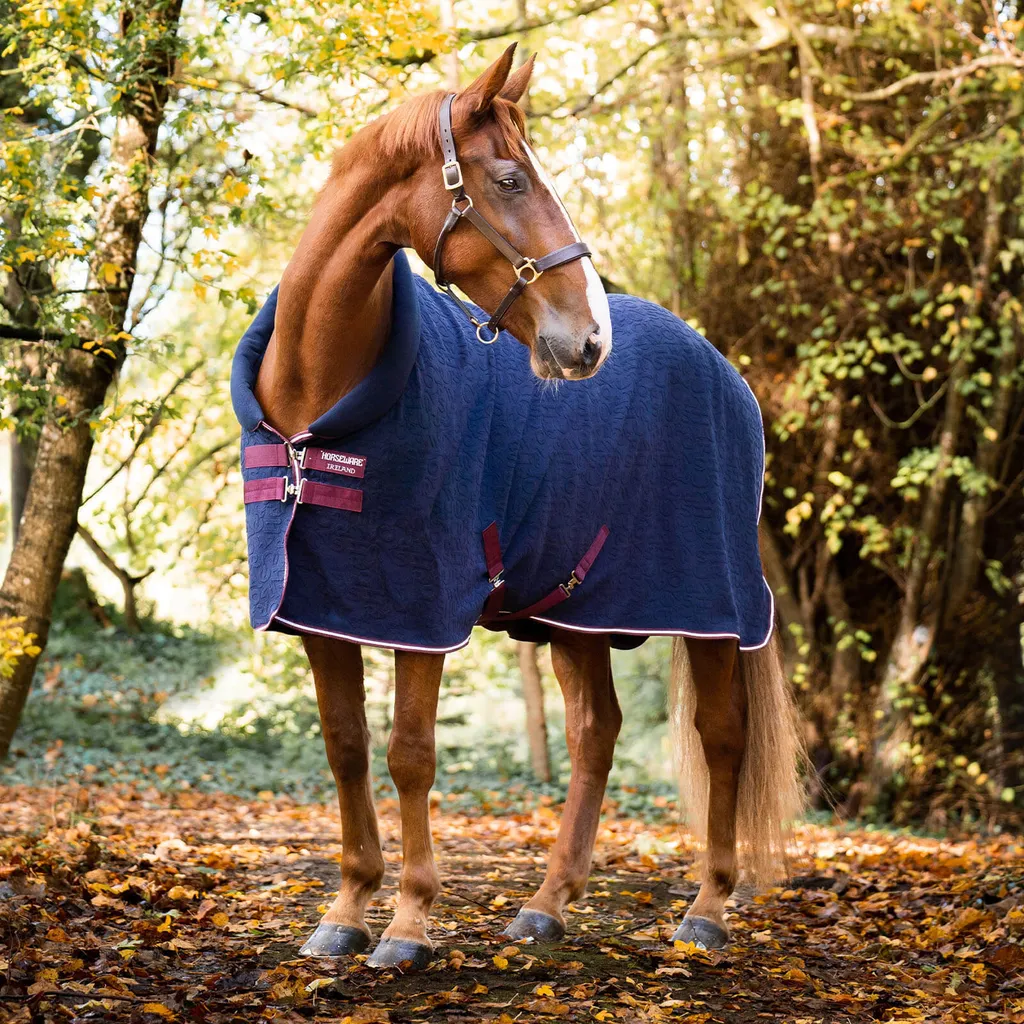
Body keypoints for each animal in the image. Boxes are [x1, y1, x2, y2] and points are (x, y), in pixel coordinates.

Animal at [232, 44, 803, 970]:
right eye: (507, 178)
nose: (590, 338)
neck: (321, 403)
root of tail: (724, 370)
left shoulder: (421, 608)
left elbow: (411, 754)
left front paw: (409, 925)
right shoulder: (323, 607)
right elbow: (348, 749)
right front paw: (346, 913)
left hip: (711, 606)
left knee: (722, 735)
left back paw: (708, 908)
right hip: (577, 610)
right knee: (596, 732)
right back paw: (547, 903)